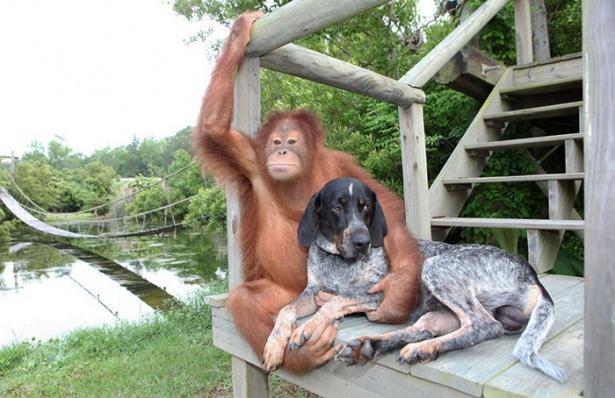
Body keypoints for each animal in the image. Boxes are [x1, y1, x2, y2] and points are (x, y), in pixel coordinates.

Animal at [262, 177, 564, 382]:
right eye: (337, 208)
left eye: (365, 207)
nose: (362, 242)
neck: (338, 261)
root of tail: (532, 274)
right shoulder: (311, 291)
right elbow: (286, 310)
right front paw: (274, 346)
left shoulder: (374, 295)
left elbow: (334, 302)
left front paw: (307, 328)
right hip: (438, 312)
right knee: (422, 330)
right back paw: (379, 346)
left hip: (436, 267)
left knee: (484, 326)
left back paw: (416, 347)